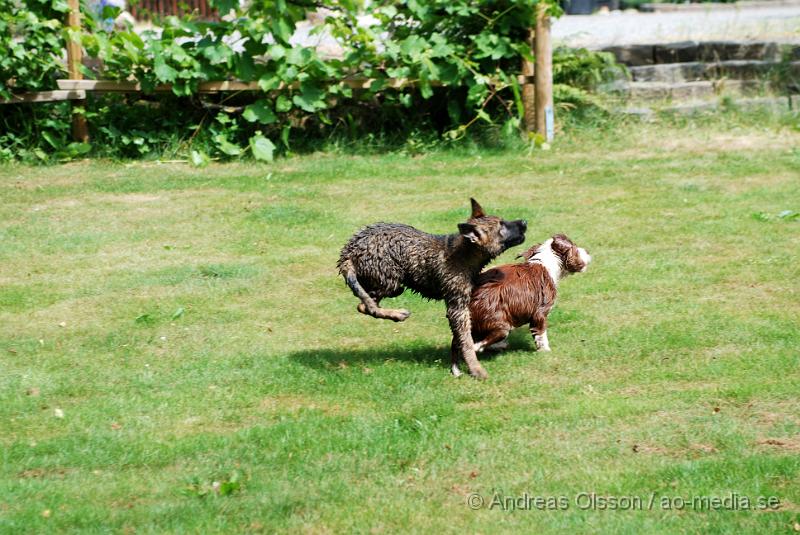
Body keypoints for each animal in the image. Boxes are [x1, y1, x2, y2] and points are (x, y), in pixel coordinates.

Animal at [336, 201, 524, 382]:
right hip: (391, 282)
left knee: (365, 305)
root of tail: (348, 253)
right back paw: (398, 314)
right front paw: (475, 368)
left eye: (503, 220)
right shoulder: (457, 307)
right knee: (365, 305)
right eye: (501, 227)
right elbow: (467, 341)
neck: (465, 253)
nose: (524, 221)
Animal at [466, 233, 592, 364]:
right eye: (575, 248)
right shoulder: (540, 313)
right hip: (500, 323)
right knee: (482, 342)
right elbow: (541, 334)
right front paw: (545, 351)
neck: (546, 262)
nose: (587, 251)